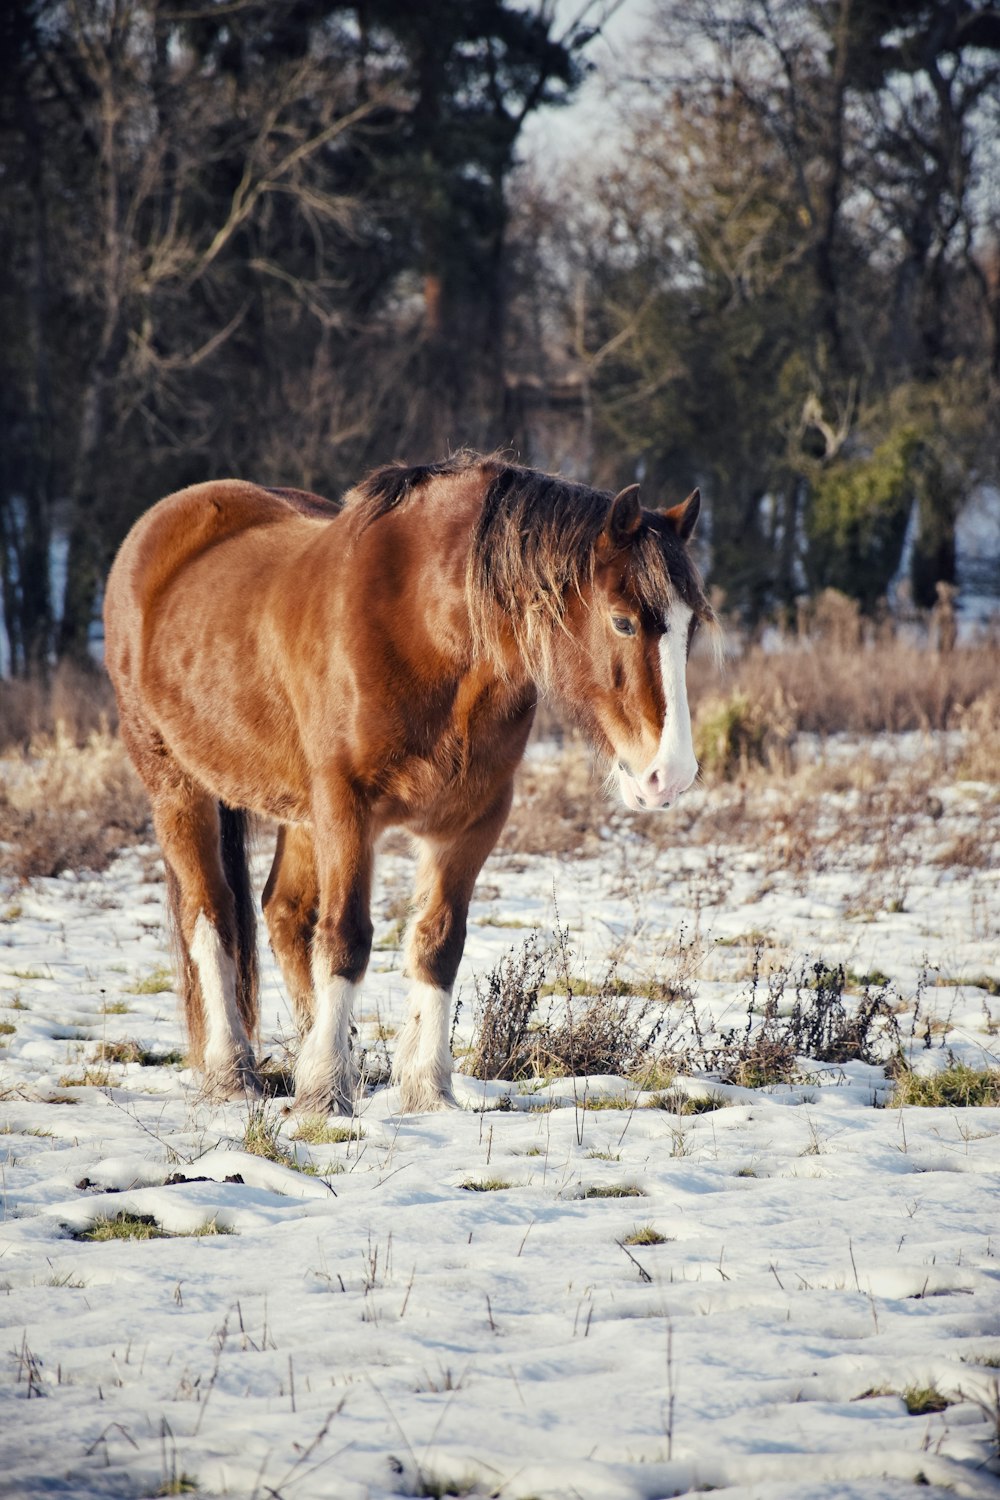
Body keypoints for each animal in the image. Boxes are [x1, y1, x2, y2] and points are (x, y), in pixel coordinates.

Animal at [99, 456, 710, 1116]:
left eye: (690, 628)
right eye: (622, 621)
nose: (669, 776)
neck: (423, 629)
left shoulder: (472, 819)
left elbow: (438, 943)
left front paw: (425, 1089)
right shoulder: (347, 808)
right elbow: (345, 938)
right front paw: (326, 1094)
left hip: (299, 812)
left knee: (285, 915)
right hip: (178, 789)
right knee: (211, 918)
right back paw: (232, 1069)